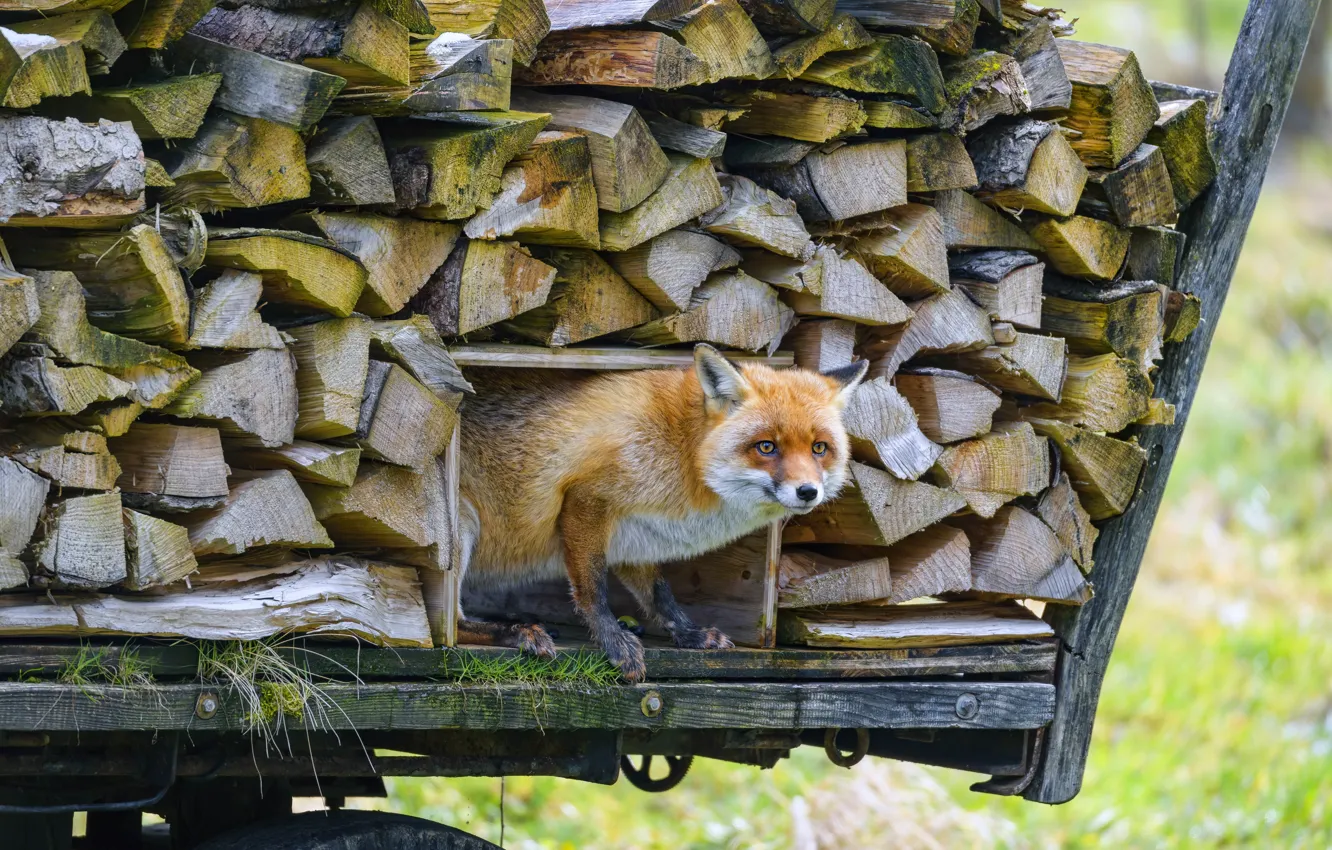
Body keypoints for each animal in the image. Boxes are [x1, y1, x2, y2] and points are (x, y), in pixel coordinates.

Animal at [455, 343, 868, 681]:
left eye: (818, 448)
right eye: (766, 446)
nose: (808, 491)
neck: (683, 454)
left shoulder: (633, 536)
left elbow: (659, 595)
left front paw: (689, 634)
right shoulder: (585, 498)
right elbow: (593, 590)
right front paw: (614, 641)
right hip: (463, 526)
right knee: (453, 625)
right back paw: (513, 631)